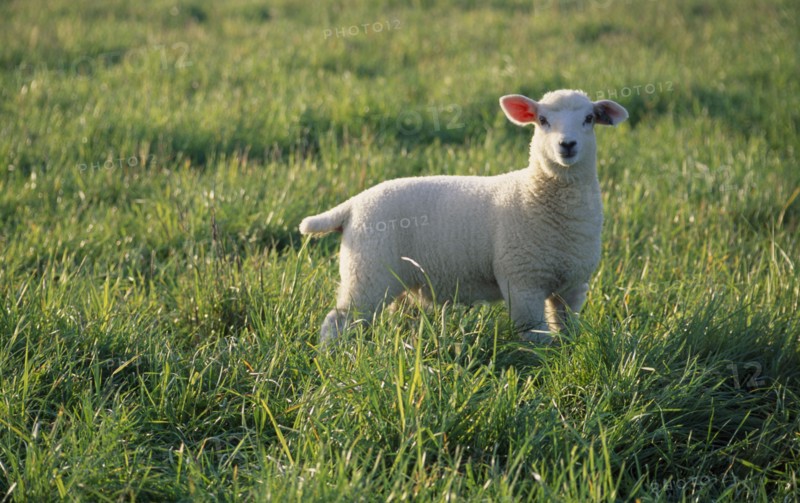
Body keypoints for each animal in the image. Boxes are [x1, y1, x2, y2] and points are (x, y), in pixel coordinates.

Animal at [300, 89, 628, 345]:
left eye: (589, 119)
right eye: (543, 121)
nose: (567, 145)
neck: (535, 193)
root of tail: (353, 205)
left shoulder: (572, 286)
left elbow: (566, 329)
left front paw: (565, 353)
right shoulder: (523, 283)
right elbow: (534, 336)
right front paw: (540, 364)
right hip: (368, 272)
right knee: (338, 321)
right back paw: (333, 359)